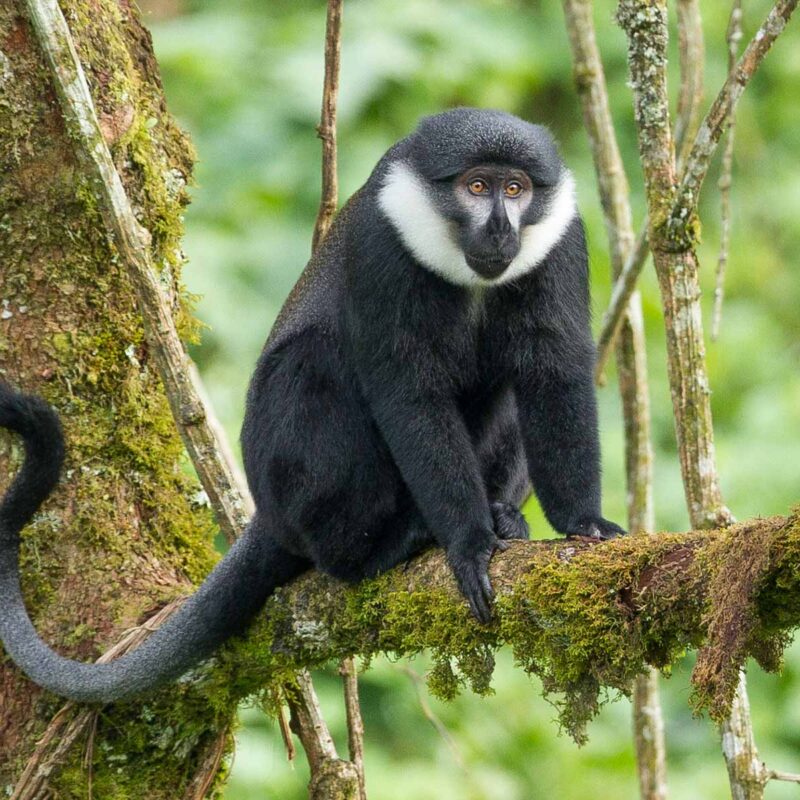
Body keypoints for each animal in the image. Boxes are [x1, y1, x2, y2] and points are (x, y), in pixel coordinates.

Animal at [0, 108, 625, 704]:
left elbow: (552, 370)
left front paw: (582, 523)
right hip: (290, 484)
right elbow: (408, 392)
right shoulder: (381, 242)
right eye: (477, 186)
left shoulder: (561, 241)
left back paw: (499, 512)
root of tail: (269, 516)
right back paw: (373, 550)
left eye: (516, 189)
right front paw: (468, 542)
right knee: (312, 361)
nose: (500, 226)